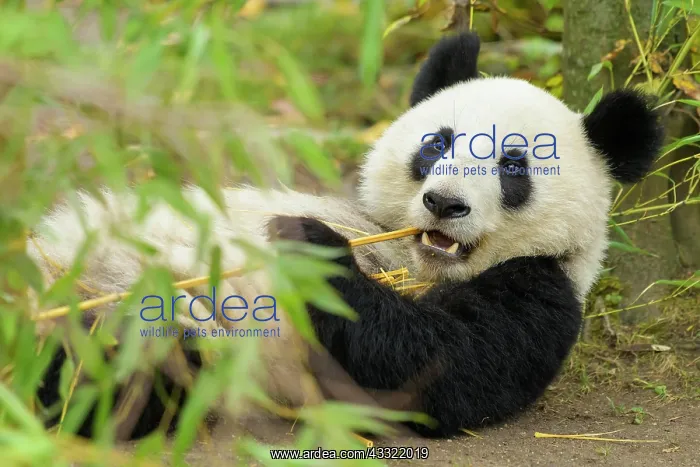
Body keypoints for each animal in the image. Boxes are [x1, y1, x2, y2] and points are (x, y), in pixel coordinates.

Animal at [33, 32, 663, 439]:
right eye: (438, 143)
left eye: (514, 167)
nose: (443, 202)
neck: (406, 253)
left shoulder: (542, 290)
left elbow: (438, 363)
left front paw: (308, 244)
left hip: (180, 349)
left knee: (109, 378)